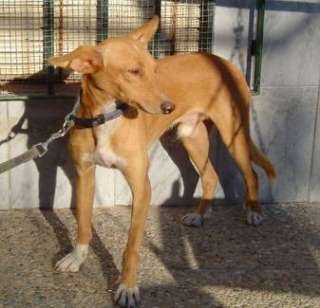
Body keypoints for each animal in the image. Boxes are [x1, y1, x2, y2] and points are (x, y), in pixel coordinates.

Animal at [49, 16, 276, 306]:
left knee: (251, 174)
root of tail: (224, 62)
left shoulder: (141, 187)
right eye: (134, 71)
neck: (105, 117)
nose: (169, 107)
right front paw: (77, 258)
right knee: (210, 175)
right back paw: (200, 215)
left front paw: (128, 287)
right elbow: (83, 225)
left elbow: (132, 247)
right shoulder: (84, 175)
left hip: (233, 134)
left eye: (154, 69)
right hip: (192, 136)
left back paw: (254, 212)